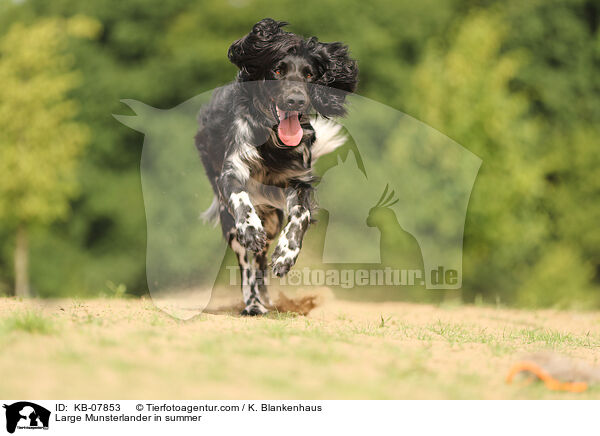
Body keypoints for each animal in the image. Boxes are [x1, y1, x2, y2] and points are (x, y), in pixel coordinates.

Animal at [196, 18, 356, 316]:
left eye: (309, 75)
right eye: (278, 70)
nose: (296, 100)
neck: (272, 143)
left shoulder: (298, 181)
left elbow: (301, 216)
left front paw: (285, 255)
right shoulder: (233, 171)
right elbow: (241, 199)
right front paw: (251, 229)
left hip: (271, 218)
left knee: (259, 262)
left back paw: (266, 296)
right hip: (229, 224)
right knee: (247, 267)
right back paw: (253, 304)